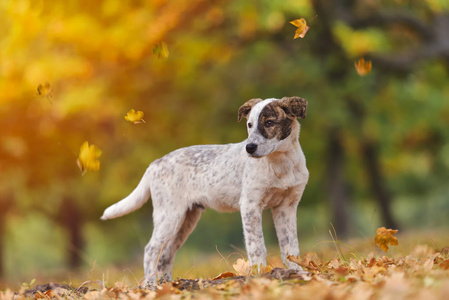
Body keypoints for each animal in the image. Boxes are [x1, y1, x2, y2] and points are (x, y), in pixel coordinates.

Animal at [102, 97, 308, 284]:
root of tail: (154, 164)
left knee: (166, 255)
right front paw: (260, 273)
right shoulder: (250, 205)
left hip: (186, 220)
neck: (281, 162)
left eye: (269, 123)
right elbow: (257, 245)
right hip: (169, 215)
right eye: (249, 125)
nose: (249, 148)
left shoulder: (287, 207)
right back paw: (151, 285)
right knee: (151, 250)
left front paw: (297, 272)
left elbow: (291, 247)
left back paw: (168, 284)